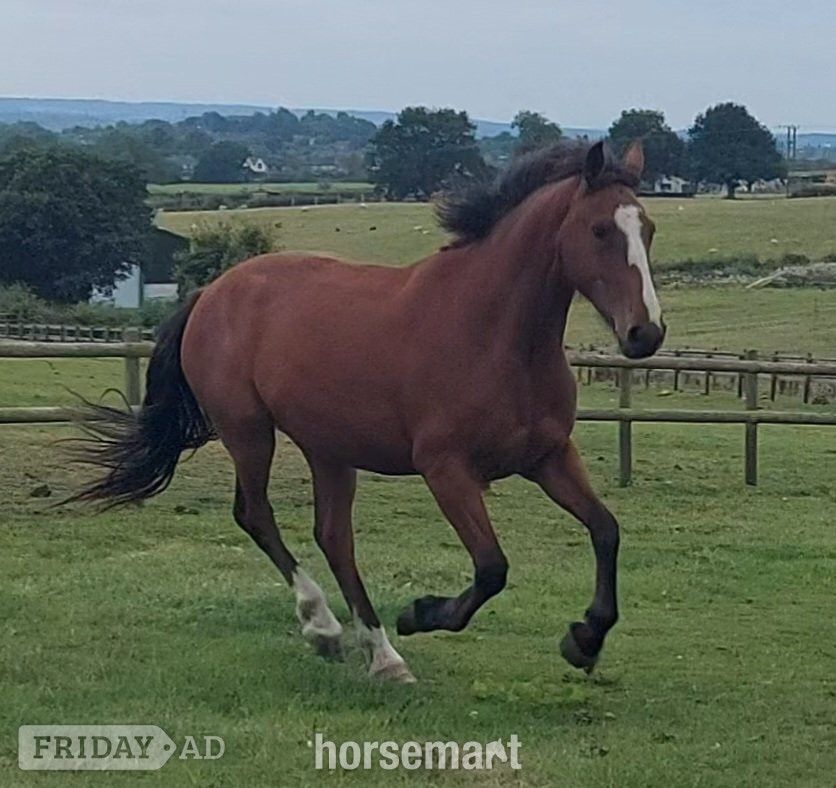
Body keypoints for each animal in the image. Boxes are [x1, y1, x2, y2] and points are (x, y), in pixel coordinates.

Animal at [70, 140, 664, 683]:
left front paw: (585, 639)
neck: (497, 336)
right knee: (256, 515)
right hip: (248, 430)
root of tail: (212, 292)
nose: (646, 333)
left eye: (649, 230)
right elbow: (492, 568)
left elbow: (606, 531)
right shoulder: (446, 469)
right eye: (600, 231)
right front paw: (420, 613)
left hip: (329, 448)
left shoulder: (549, 457)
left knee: (333, 537)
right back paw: (325, 628)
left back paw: (381, 655)